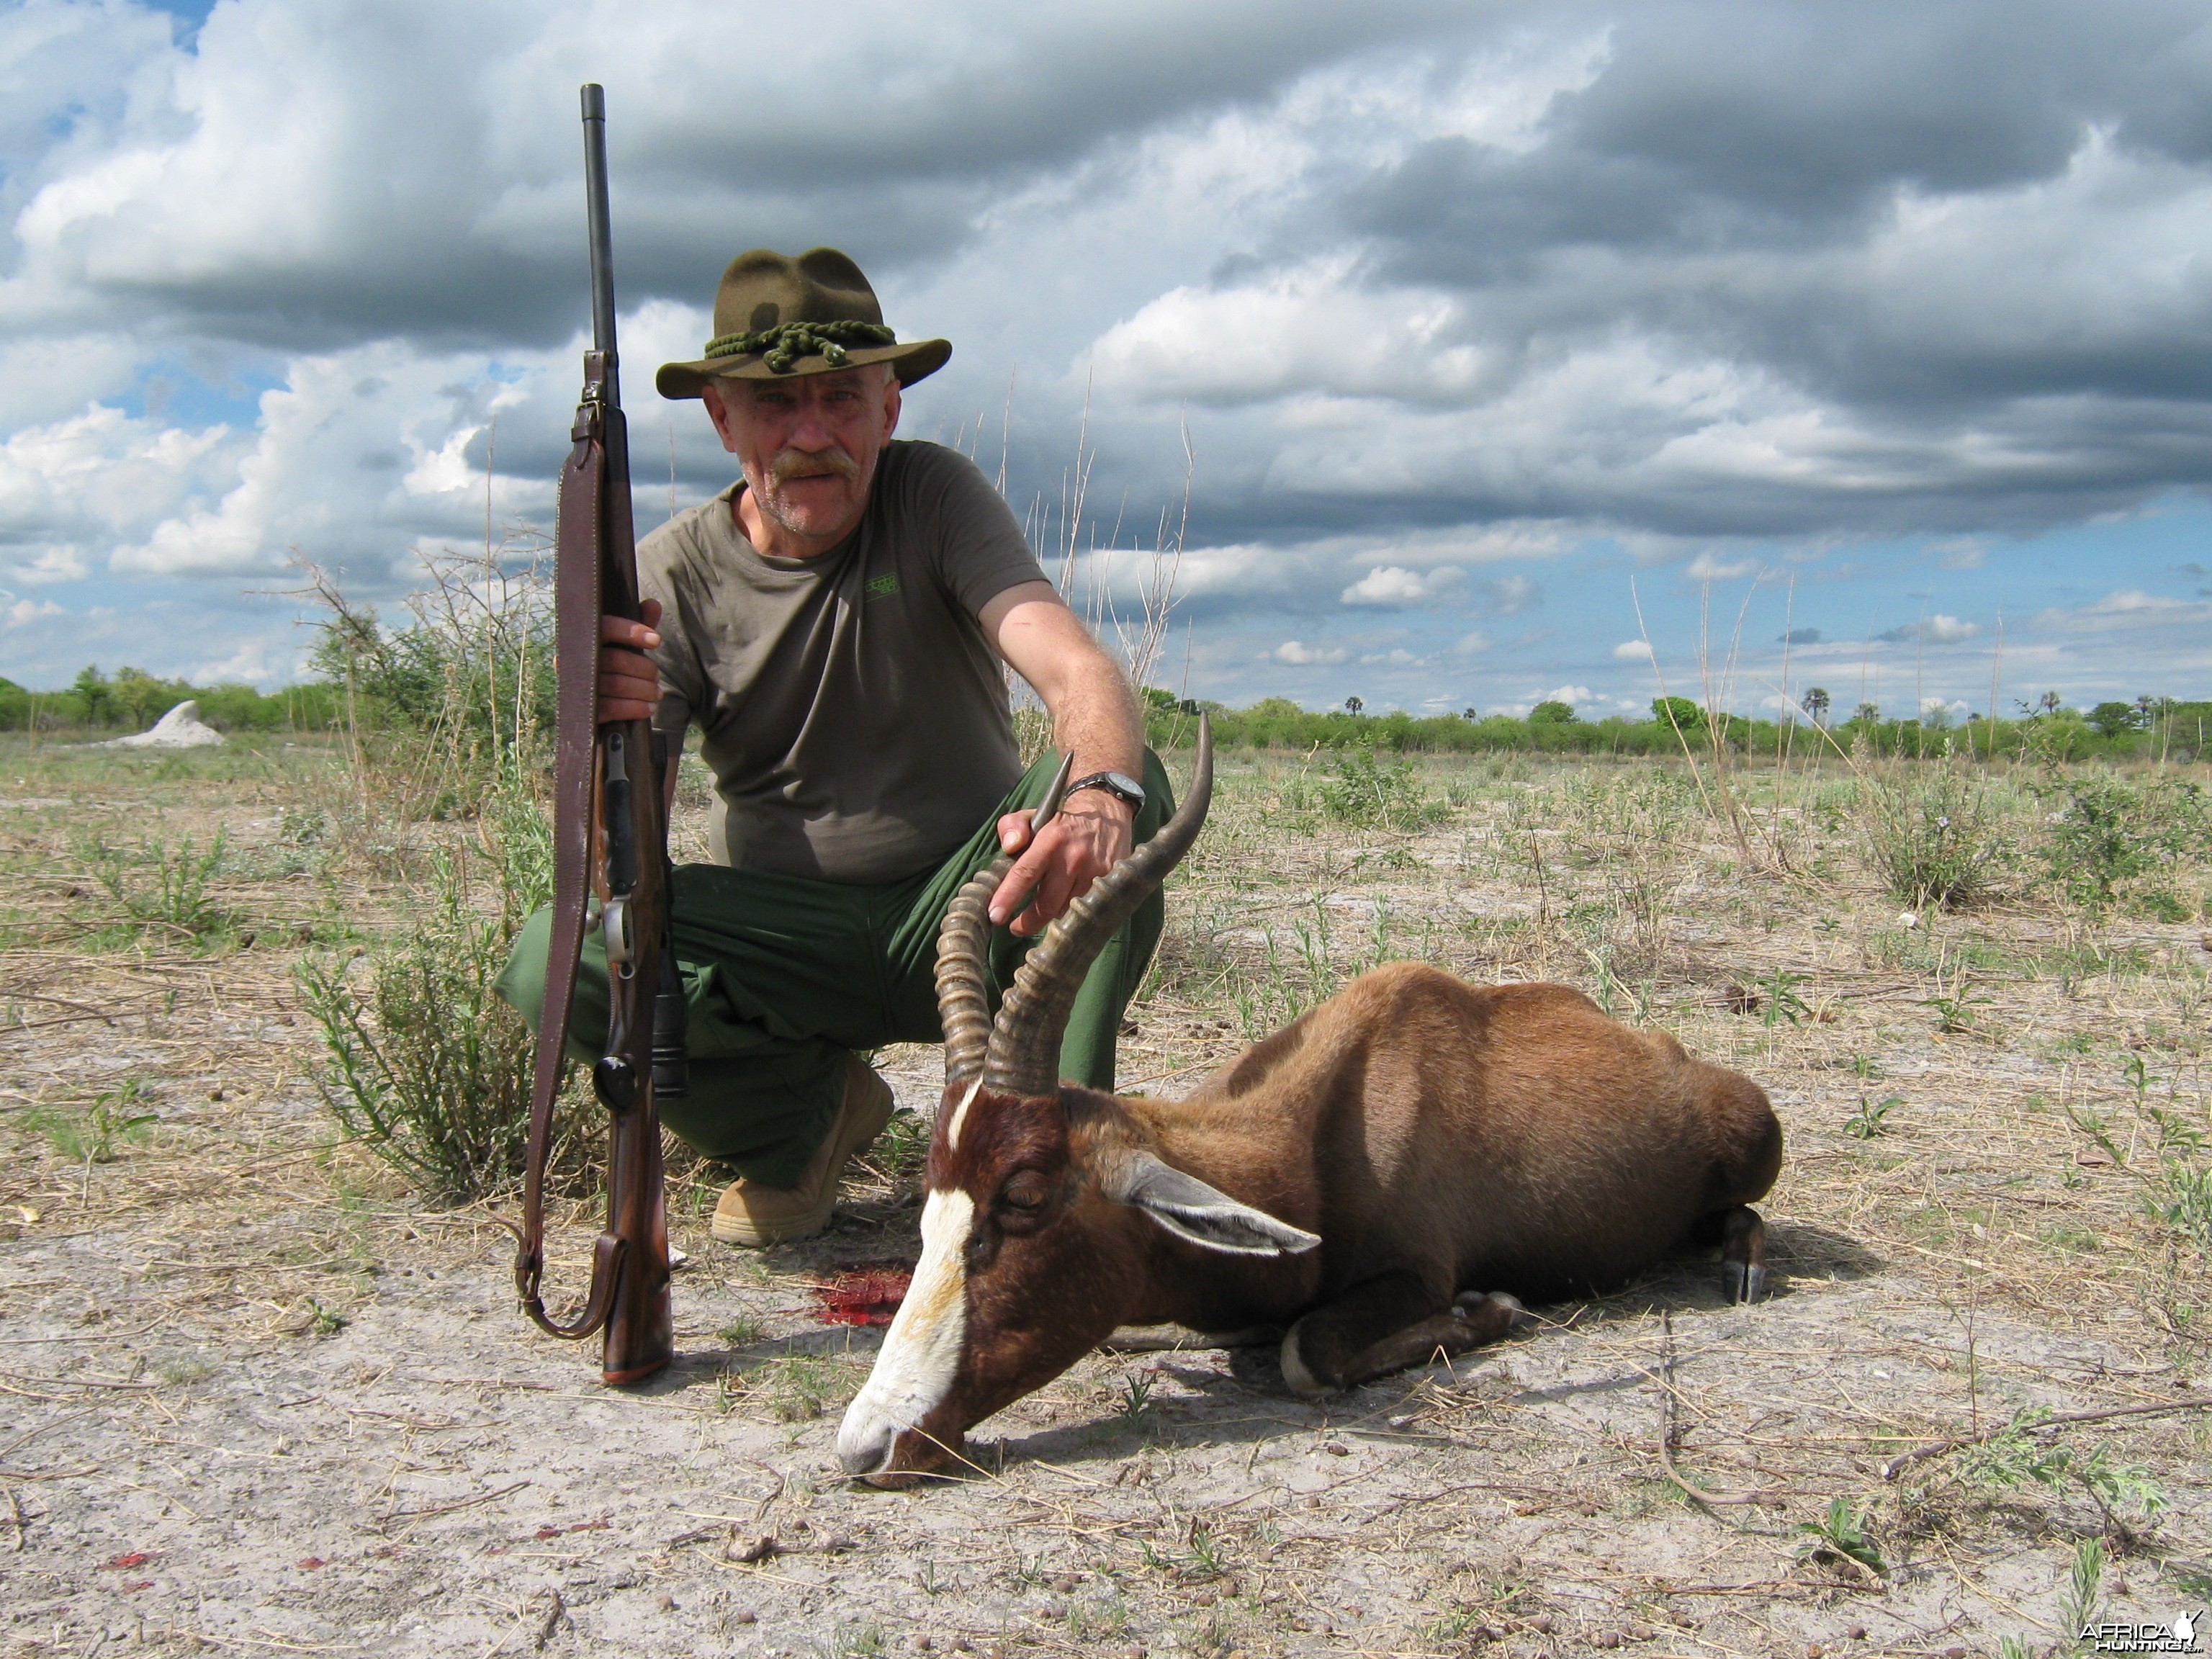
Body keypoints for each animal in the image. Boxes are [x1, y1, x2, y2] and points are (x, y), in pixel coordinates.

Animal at [836, 725, 1787, 1495]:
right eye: (931, 1204)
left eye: (1025, 1197)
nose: (869, 1447)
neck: (1328, 1130)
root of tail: (1663, 1050)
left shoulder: (1414, 1273)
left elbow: (1308, 1356)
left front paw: (1492, 1310)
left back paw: (1741, 1271)